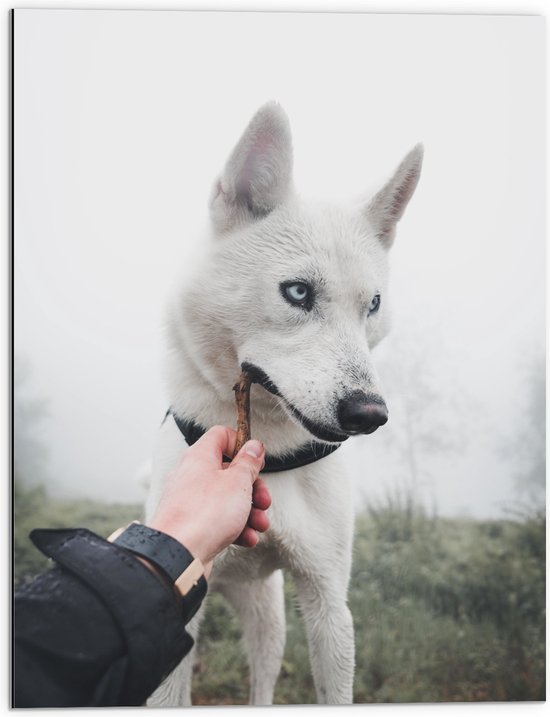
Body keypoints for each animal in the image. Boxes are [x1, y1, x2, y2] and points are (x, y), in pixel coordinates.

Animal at [144, 102, 424, 704]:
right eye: (298, 292)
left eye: (372, 305)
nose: (371, 415)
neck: (269, 453)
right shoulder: (171, 613)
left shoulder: (328, 602)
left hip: (270, 621)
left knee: (264, 678)